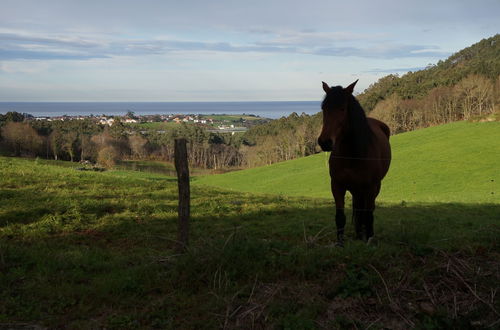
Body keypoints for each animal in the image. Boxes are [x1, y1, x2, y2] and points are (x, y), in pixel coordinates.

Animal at [318, 79, 392, 245]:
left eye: (342, 108)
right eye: (324, 108)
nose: (325, 142)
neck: (352, 156)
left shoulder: (371, 188)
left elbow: (368, 215)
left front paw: (369, 240)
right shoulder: (337, 186)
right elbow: (340, 217)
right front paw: (340, 243)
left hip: (372, 188)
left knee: (367, 211)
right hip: (356, 190)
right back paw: (358, 234)